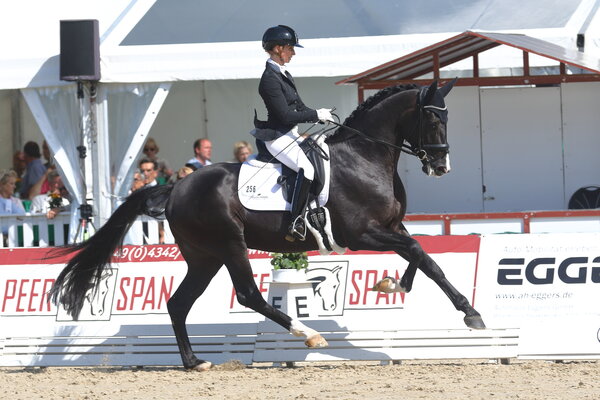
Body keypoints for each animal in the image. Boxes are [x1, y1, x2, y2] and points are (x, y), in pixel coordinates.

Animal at [49, 80, 486, 371]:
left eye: (445, 118)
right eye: (431, 118)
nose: (441, 166)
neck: (365, 157)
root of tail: (175, 186)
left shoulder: (394, 225)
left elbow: (424, 257)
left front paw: (396, 285)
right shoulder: (362, 233)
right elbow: (418, 252)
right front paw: (469, 313)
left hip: (204, 257)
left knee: (178, 303)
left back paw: (194, 362)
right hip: (229, 245)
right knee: (247, 295)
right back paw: (307, 334)